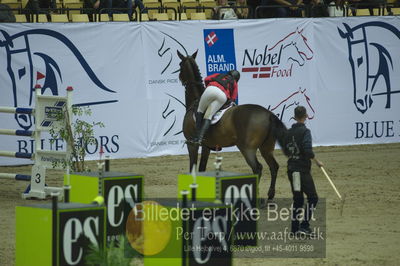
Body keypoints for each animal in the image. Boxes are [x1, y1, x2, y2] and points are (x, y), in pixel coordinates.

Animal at [178, 50, 288, 200]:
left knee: (257, 168)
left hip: (247, 148)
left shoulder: (192, 145)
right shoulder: (206, 147)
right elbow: (201, 169)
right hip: (266, 147)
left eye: (180, 65)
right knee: (274, 167)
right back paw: (270, 195)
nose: (179, 77)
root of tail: (268, 114)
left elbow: (193, 169)